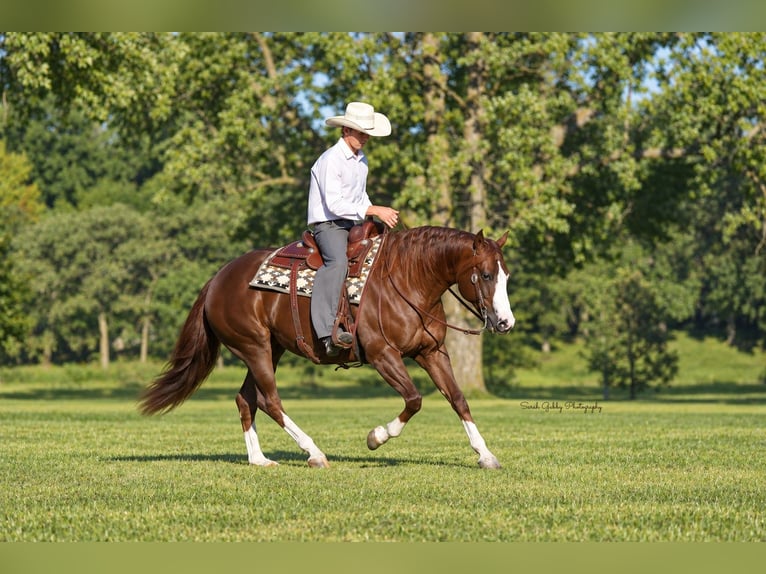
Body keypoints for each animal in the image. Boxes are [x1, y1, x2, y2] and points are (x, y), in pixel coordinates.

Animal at [139, 225, 515, 469]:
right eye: (485, 275)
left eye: (506, 275)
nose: (506, 322)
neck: (408, 279)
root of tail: (217, 279)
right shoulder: (383, 355)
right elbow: (414, 399)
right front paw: (376, 437)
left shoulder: (432, 353)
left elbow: (458, 399)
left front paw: (485, 455)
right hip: (255, 347)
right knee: (270, 400)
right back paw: (315, 453)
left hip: (269, 350)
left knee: (246, 399)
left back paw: (259, 459)